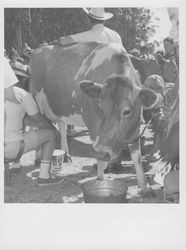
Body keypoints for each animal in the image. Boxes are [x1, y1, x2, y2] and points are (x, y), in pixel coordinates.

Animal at [29, 42, 163, 195]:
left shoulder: (135, 128)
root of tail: (40, 48)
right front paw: (100, 179)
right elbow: (100, 157)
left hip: (59, 105)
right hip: (36, 98)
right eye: (100, 107)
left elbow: (137, 157)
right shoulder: (92, 124)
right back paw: (38, 157)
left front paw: (145, 187)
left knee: (61, 125)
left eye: (127, 111)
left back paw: (66, 154)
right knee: (36, 124)